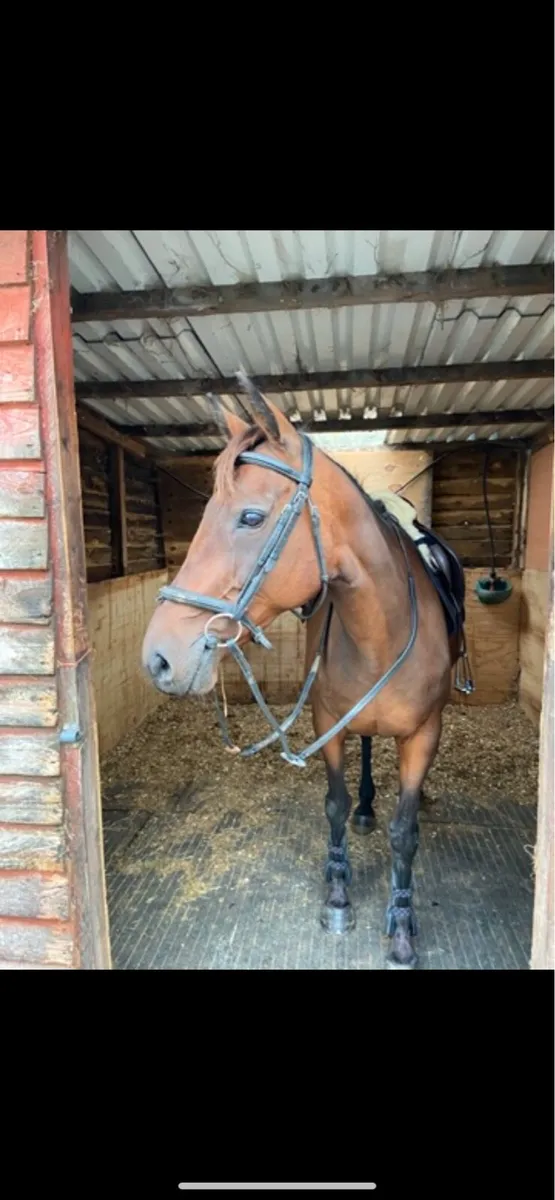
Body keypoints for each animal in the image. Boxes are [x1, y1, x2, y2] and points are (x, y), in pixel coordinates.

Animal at [141, 371, 472, 969]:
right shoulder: (326, 722)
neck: (382, 631)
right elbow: (335, 806)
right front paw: (338, 893)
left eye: (251, 517)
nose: (159, 658)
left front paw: (402, 926)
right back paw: (366, 806)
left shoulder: (423, 735)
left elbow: (405, 832)